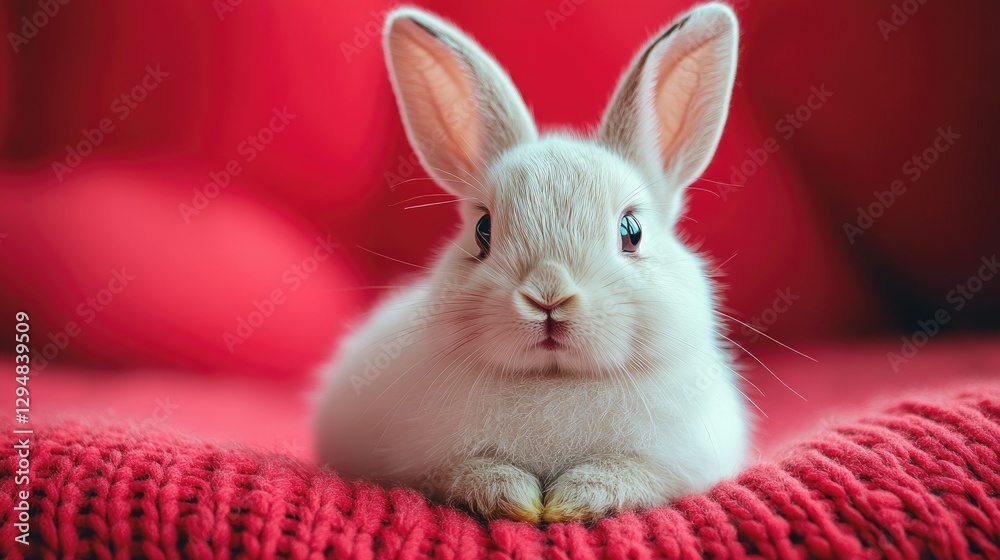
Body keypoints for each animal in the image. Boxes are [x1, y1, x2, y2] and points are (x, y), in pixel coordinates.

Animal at [315, 2, 747, 524]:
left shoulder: (674, 465)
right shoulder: (425, 465)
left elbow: (626, 475)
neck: (552, 379)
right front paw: (518, 499)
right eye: (483, 230)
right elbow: (464, 472)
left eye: (632, 231)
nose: (548, 297)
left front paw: (570, 501)